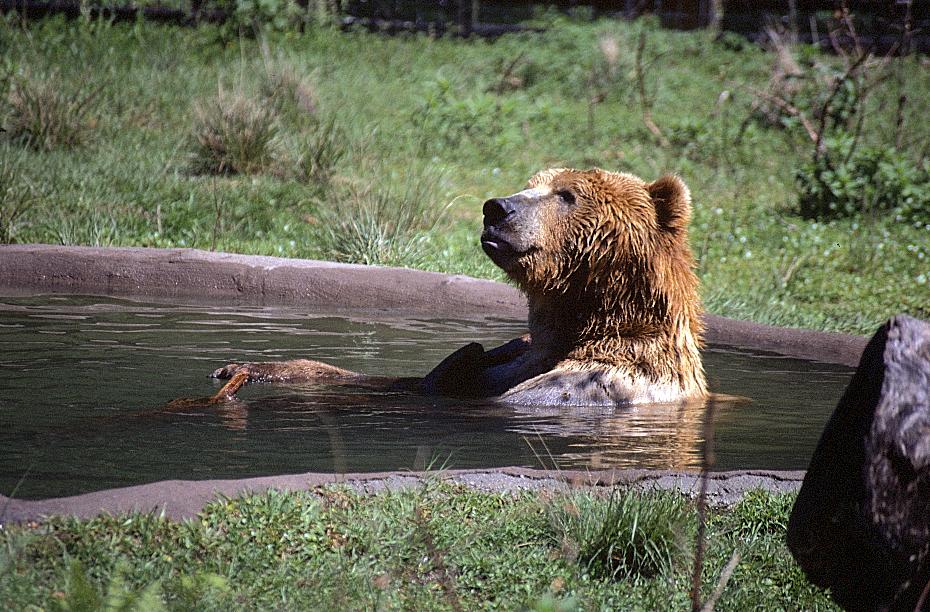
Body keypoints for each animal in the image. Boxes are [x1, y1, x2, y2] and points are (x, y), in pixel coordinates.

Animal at [209, 167, 707, 407]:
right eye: (532, 183)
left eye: (567, 194)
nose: (497, 208)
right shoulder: (516, 352)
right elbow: (395, 380)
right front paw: (244, 366)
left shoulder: (593, 381)